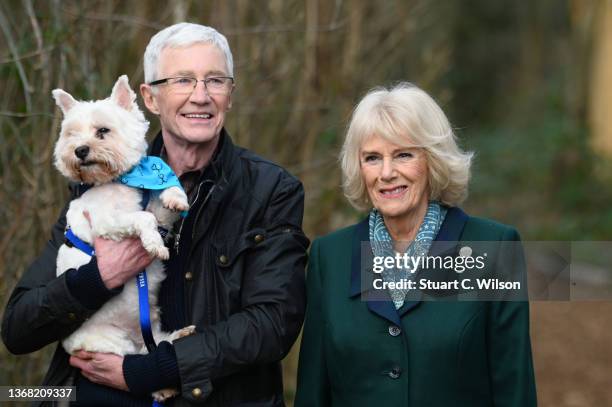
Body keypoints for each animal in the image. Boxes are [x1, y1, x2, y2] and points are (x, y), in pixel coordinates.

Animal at [54, 75, 194, 404]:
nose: (80, 150)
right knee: (137, 364)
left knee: (158, 349)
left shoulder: (153, 203)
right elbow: (143, 219)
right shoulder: (108, 222)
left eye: (102, 131)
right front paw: (154, 243)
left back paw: (180, 337)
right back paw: (163, 387)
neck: (118, 180)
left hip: (150, 332)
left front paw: (177, 198)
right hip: (111, 344)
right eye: (71, 134)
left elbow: (164, 199)